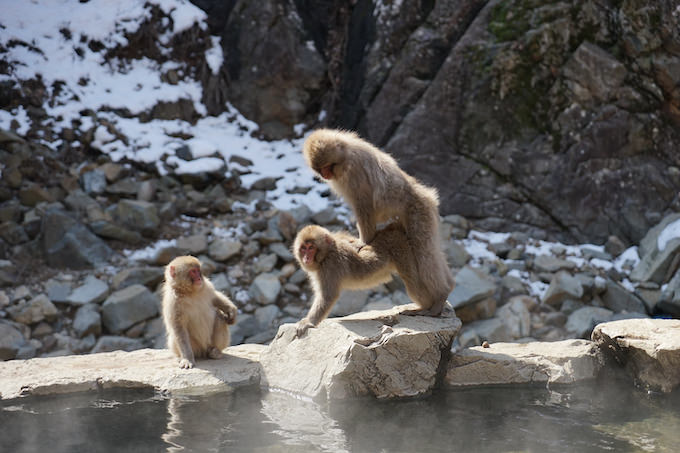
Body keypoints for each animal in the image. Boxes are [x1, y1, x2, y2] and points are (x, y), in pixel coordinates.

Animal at [304, 128, 454, 314]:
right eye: (320, 169)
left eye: (326, 166)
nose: (324, 174)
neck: (346, 153)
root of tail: (427, 195)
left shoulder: (355, 173)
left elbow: (364, 205)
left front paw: (363, 242)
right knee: (431, 250)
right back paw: (449, 287)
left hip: (419, 212)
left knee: (424, 253)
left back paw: (440, 296)